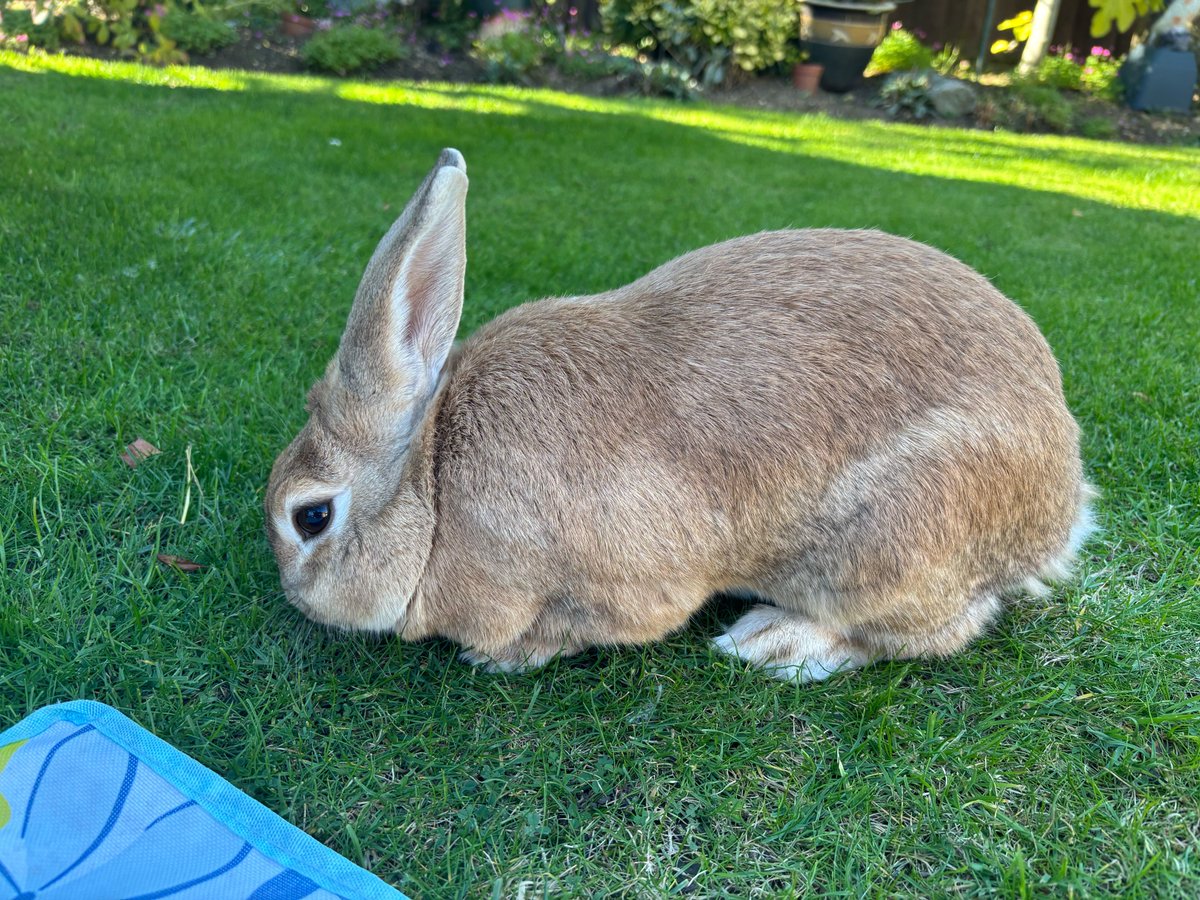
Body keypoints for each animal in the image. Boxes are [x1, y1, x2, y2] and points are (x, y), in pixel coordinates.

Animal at [265, 148, 1094, 682]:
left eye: (312, 517)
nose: (296, 598)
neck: (434, 484)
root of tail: (1059, 513)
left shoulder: (621, 589)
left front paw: (503, 655)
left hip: (890, 547)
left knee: (933, 630)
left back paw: (777, 644)